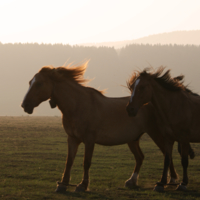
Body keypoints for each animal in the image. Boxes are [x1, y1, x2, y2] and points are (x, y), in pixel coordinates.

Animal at [21, 63, 180, 192]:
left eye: (39, 84)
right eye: (29, 82)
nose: (25, 105)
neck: (78, 105)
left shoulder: (89, 140)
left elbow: (86, 162)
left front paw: (82, 185)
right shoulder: (72, 139)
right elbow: (69, 162)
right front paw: (62, 185)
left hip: (156, 134)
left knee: (167, 154)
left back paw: (169, 181)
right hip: (132, 139)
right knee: (140, 157)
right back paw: (132, 181)